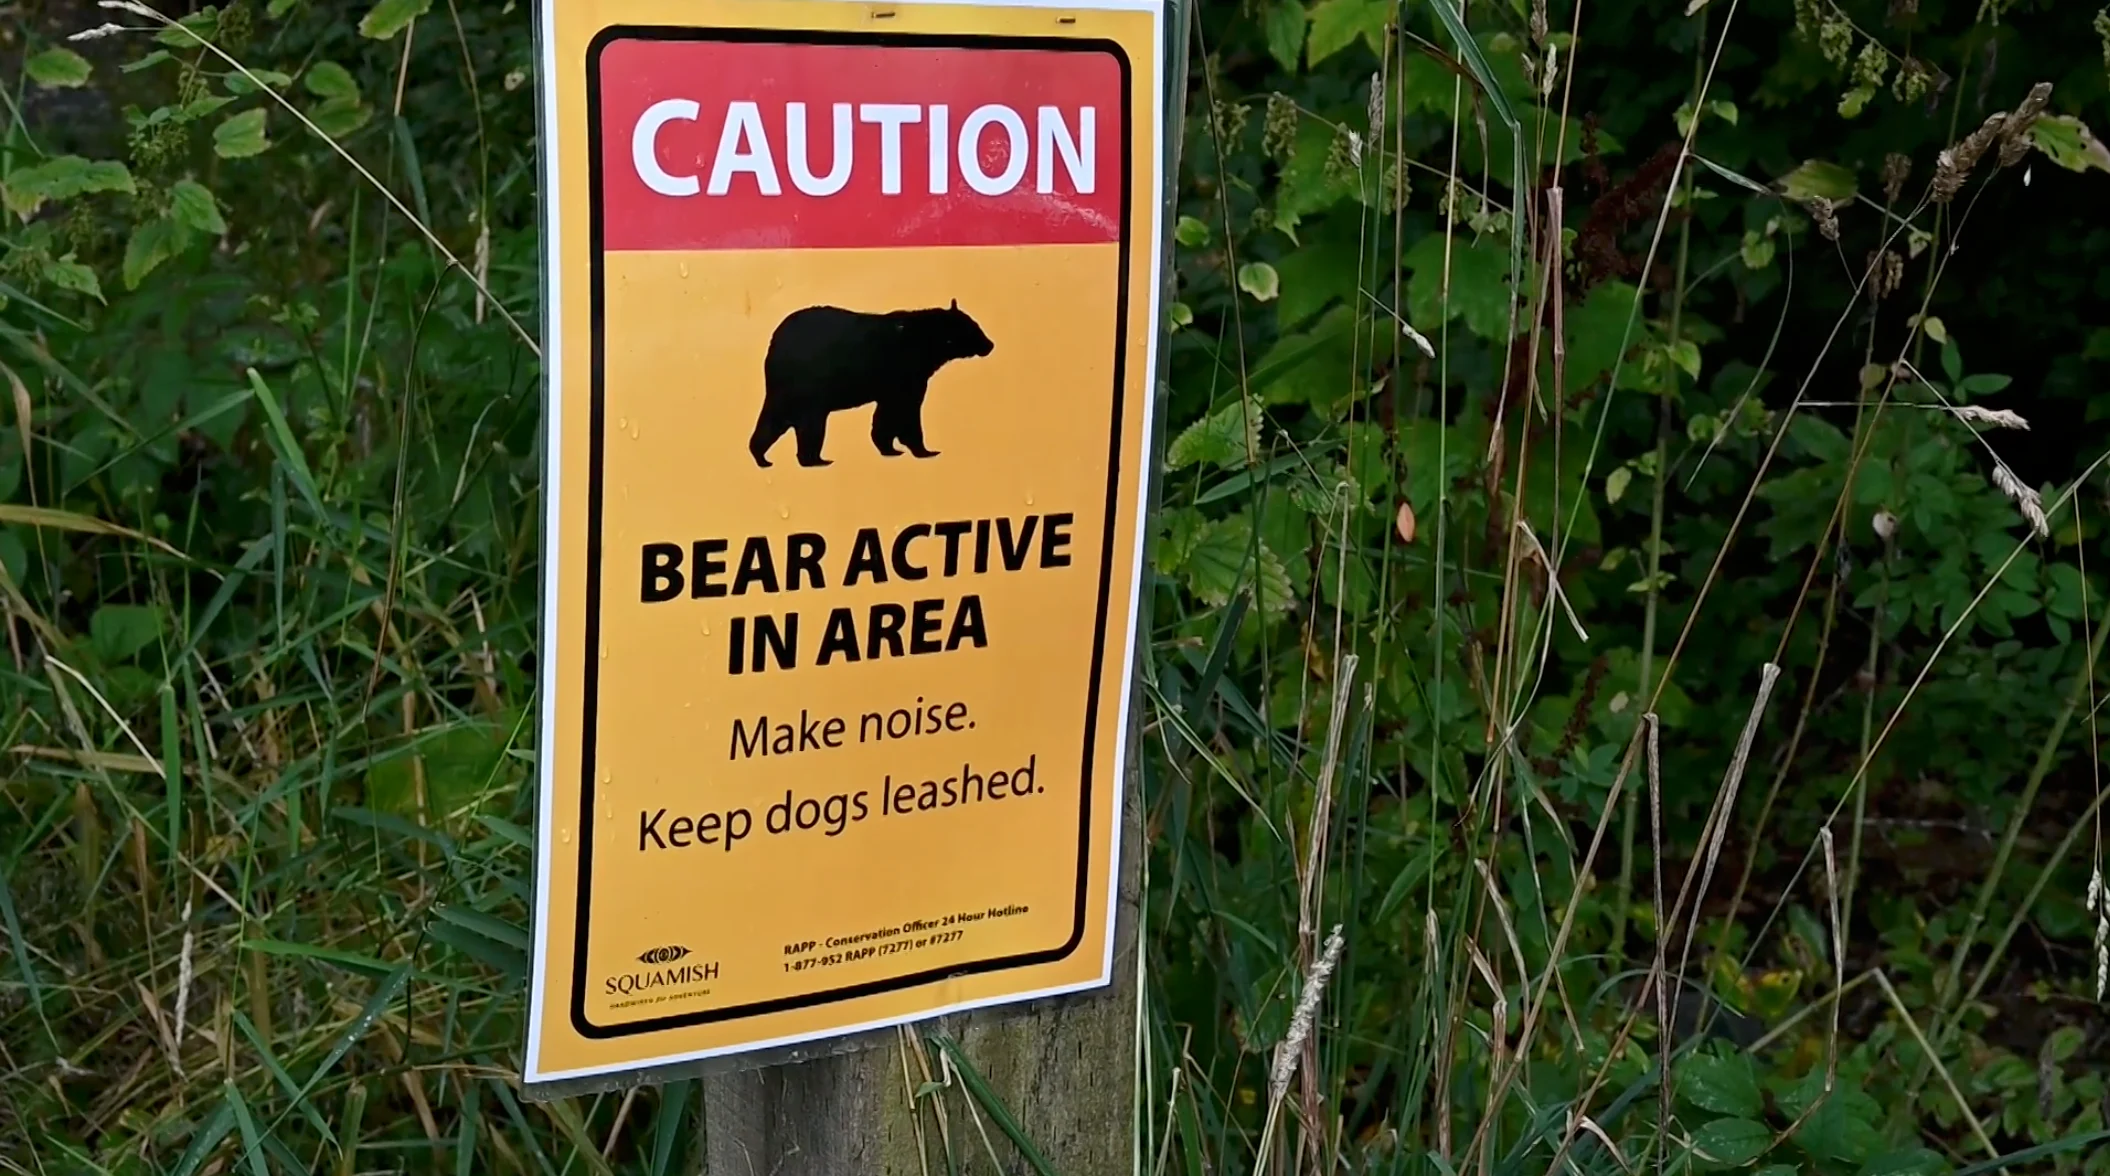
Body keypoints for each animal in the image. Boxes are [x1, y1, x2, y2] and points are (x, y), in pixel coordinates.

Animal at [748, 300, 995, 469]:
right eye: (973, 327)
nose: (990, 344)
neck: (926, 344)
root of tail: (774, 342)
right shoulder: (905, 374)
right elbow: (906, 410)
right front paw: (924, 450)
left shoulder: (893, 385)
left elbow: (887, 413)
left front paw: (890, 447)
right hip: (807, 384)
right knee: (809, 422)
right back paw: (814, 459)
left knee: (774, 419)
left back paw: (762, 457)